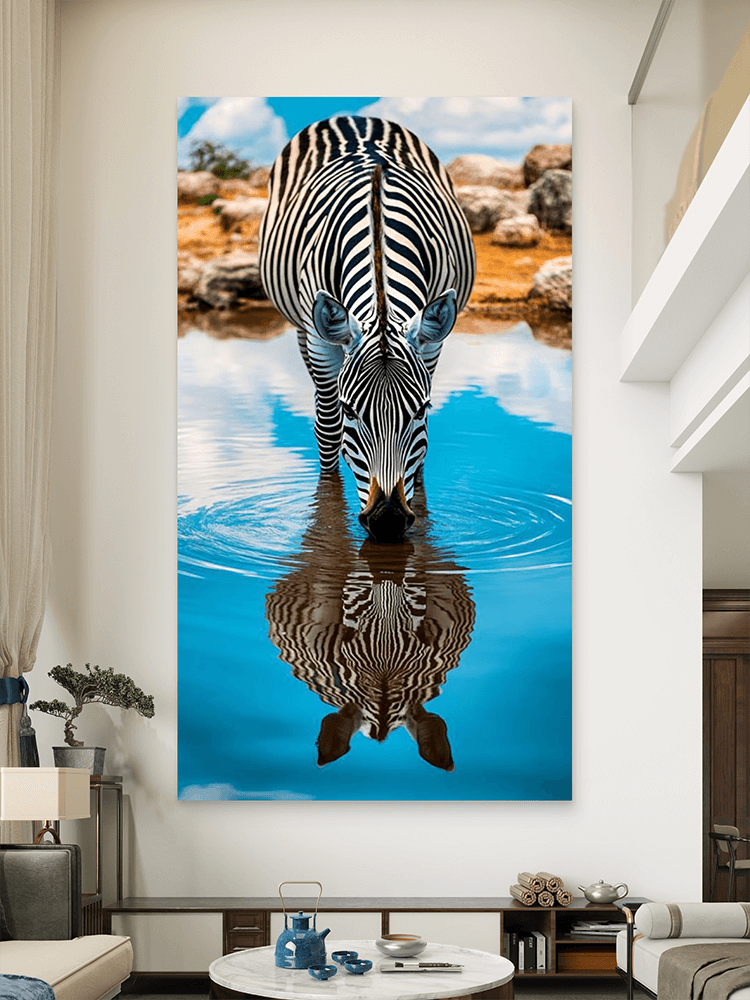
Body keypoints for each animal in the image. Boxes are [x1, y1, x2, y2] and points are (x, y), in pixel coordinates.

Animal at [259, 116, 475, 542]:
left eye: (420, 410)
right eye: (350, 410)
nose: (387, 521)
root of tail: (353, 117)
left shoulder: (430, 343)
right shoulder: (320, 339)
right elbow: (328, 431)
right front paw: (327, 516)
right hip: (304, 326)